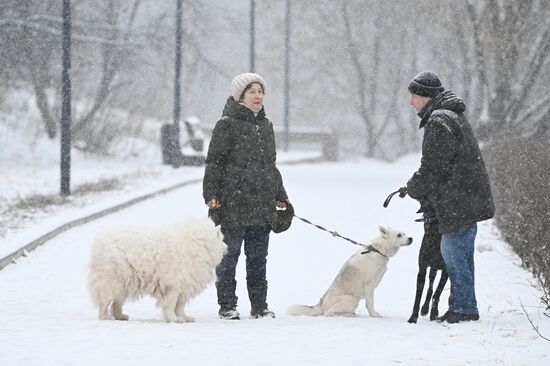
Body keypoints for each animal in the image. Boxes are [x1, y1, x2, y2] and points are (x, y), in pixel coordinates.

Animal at [89, 217, 227, 324]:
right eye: (222, 239)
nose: (227, 247)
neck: (198, 245)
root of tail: (99, 241)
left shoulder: (185, 284)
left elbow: (180, 306)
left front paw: (184, 317)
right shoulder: (173, 285)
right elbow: (171, 304)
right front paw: (173, 319)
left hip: (126, 282)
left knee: (116, 302)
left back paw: (120, 316)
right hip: (112, 280)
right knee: (105, 301)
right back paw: (105, 317)